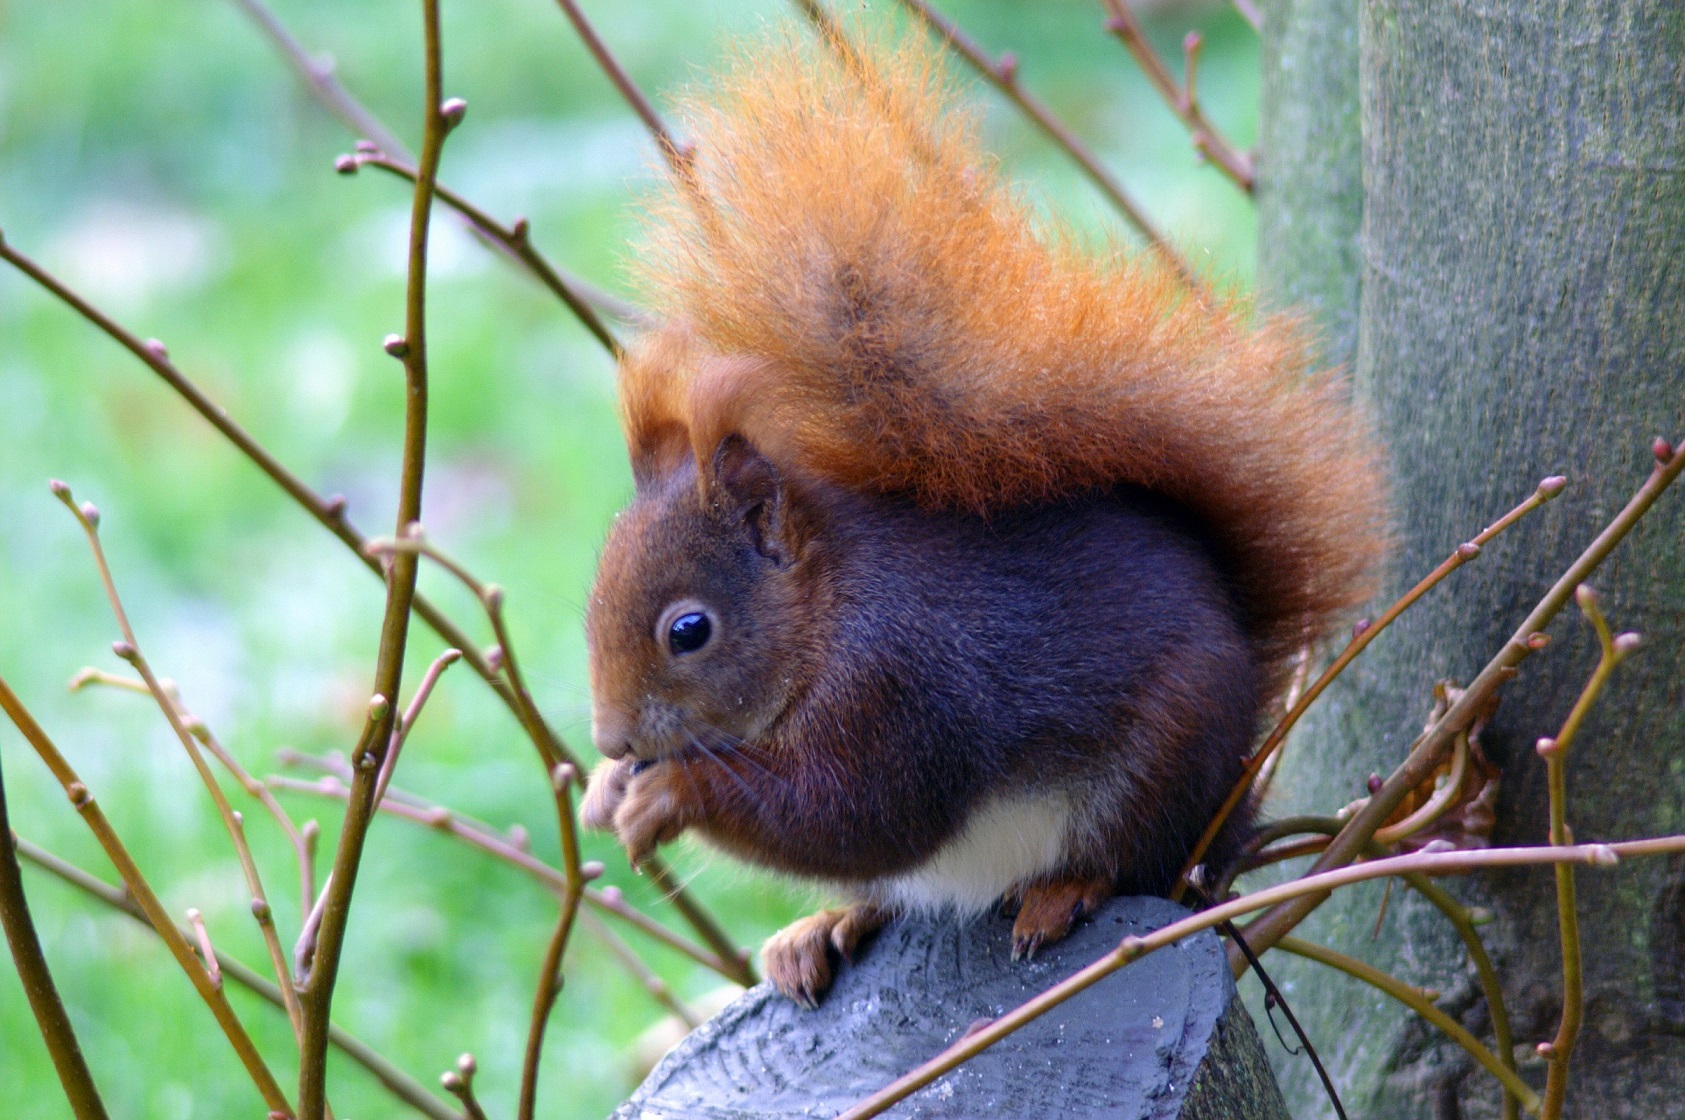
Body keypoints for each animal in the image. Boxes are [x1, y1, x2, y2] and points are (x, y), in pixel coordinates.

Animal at [579, 26, 1381, 1003]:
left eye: (688, 630)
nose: (612, 736)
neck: (823, 611)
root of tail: (1232, 806)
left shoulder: (899, 682)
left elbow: (858, 812)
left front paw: (667, 795)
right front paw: (604, 788)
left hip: (1162, 764)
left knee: (1133, 862)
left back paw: (1061, 893)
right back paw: (820, 927)